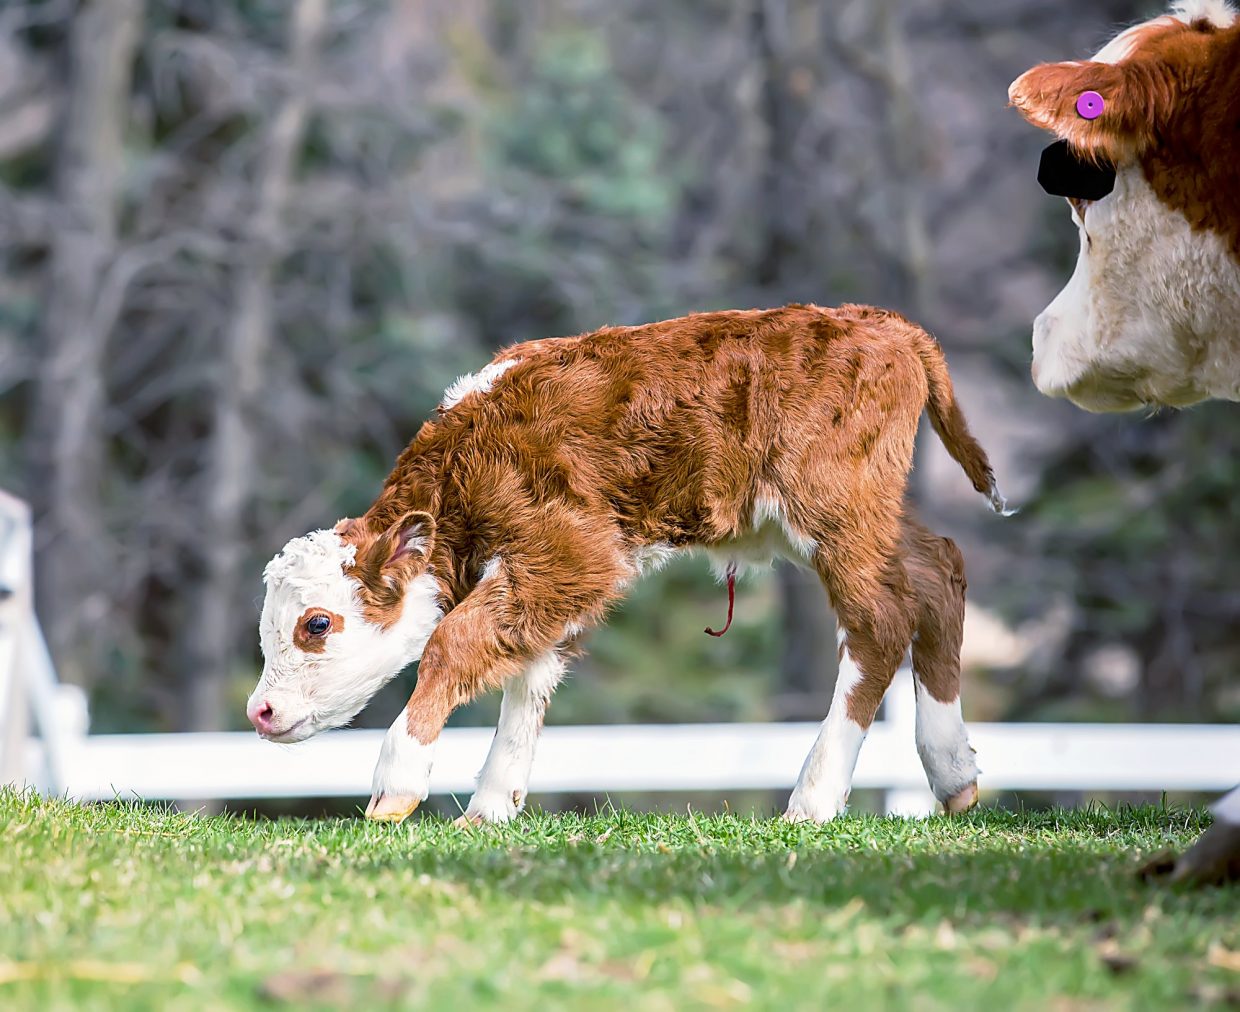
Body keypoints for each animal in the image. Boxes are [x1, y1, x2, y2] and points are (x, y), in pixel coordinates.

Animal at [245, 304, 1009, 826]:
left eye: (317, 624)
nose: (260, 710)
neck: (471, 452)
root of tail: (878, 323)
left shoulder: (573, 552)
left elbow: (453, 641)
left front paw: (396, 783)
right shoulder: (556, 581)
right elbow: (529, 675)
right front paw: (491, 805)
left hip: (834, 511)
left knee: (879, 625)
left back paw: (814, 798)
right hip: (862, 517)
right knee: (939, 570)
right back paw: (955, 775)